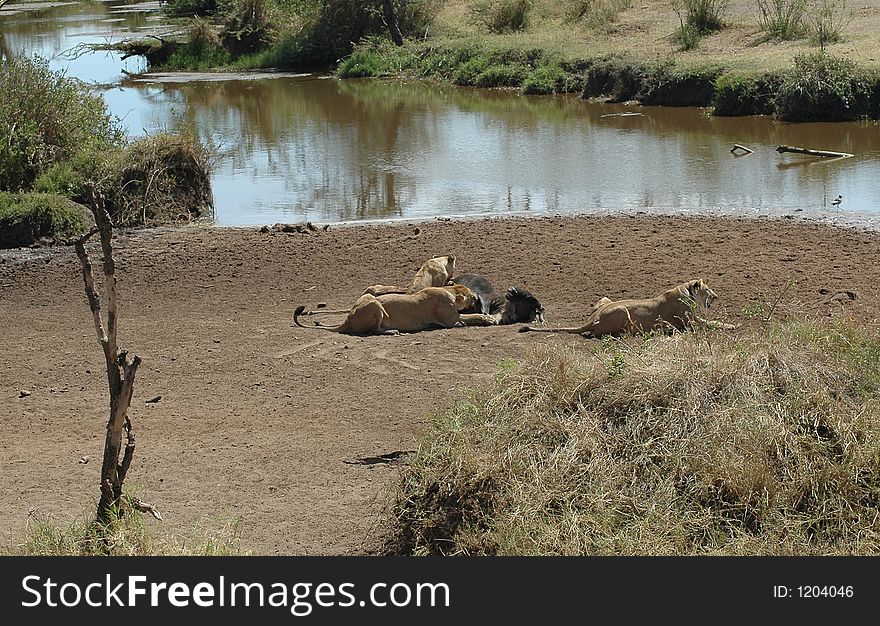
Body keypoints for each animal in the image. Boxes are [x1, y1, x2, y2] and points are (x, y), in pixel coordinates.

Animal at [520, 278, 740, 336]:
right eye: (708, 289)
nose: (716, 296)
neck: (686, 292)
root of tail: (591, 321)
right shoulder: (691, 324)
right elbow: (713, 322)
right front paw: (732, 325)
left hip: (606, 299)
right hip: (622, 311)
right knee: (603, 334)